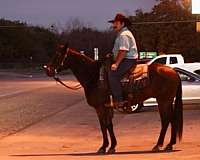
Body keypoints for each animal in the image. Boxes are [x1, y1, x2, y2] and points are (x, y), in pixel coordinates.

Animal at [44, 43, 183, 154]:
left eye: (57, 55)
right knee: (171, 119)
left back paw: (160, 145)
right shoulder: (106, 107)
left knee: (166, 120)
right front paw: (112, 146)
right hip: (166, 101)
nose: (48, 69)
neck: (94, 76)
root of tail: (174, 72)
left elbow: (103, 125)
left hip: (164, 101)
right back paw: (169, 144)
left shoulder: (100, 107)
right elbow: (109, 125)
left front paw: (103, 147)